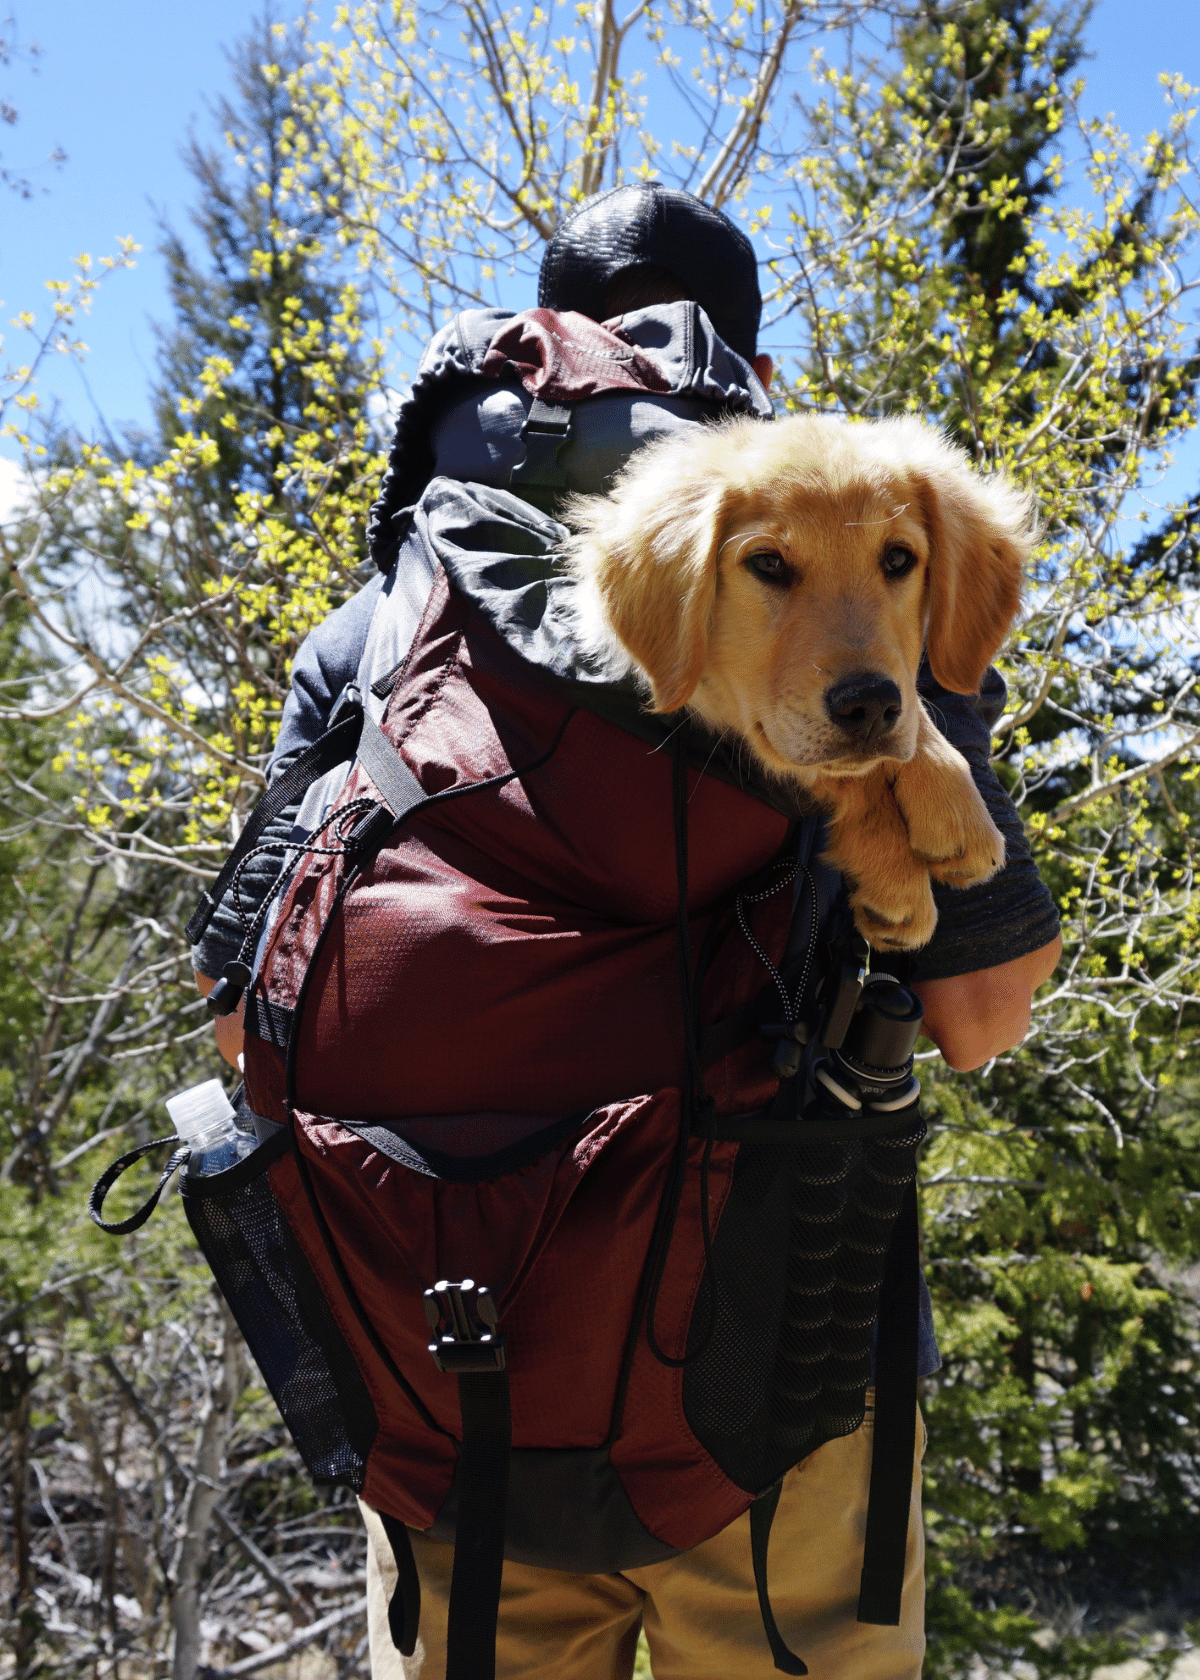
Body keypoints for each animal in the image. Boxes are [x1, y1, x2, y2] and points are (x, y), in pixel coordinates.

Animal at [564, 413, 1035, 954]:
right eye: (767, 563)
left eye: (898, 559)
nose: (870, 706)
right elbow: (823, 765)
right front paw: (898, 868)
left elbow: (901, 720)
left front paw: (946, 799)